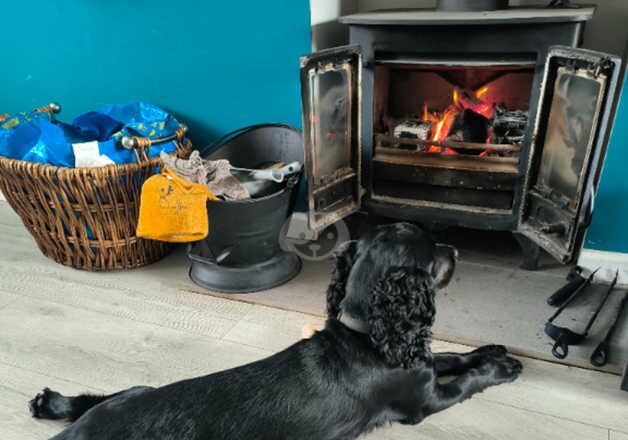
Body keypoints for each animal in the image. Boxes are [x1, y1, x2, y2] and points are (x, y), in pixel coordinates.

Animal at [29, 223, 520, 440]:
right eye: (433, 253)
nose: (456, 248)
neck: (366, 334)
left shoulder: (420, 364)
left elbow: (451, 357)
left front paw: (492, 349)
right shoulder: (424, 399)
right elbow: (467, 379)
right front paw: (504, 366)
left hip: (134, 391)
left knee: (103, 396)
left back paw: (52, 402)